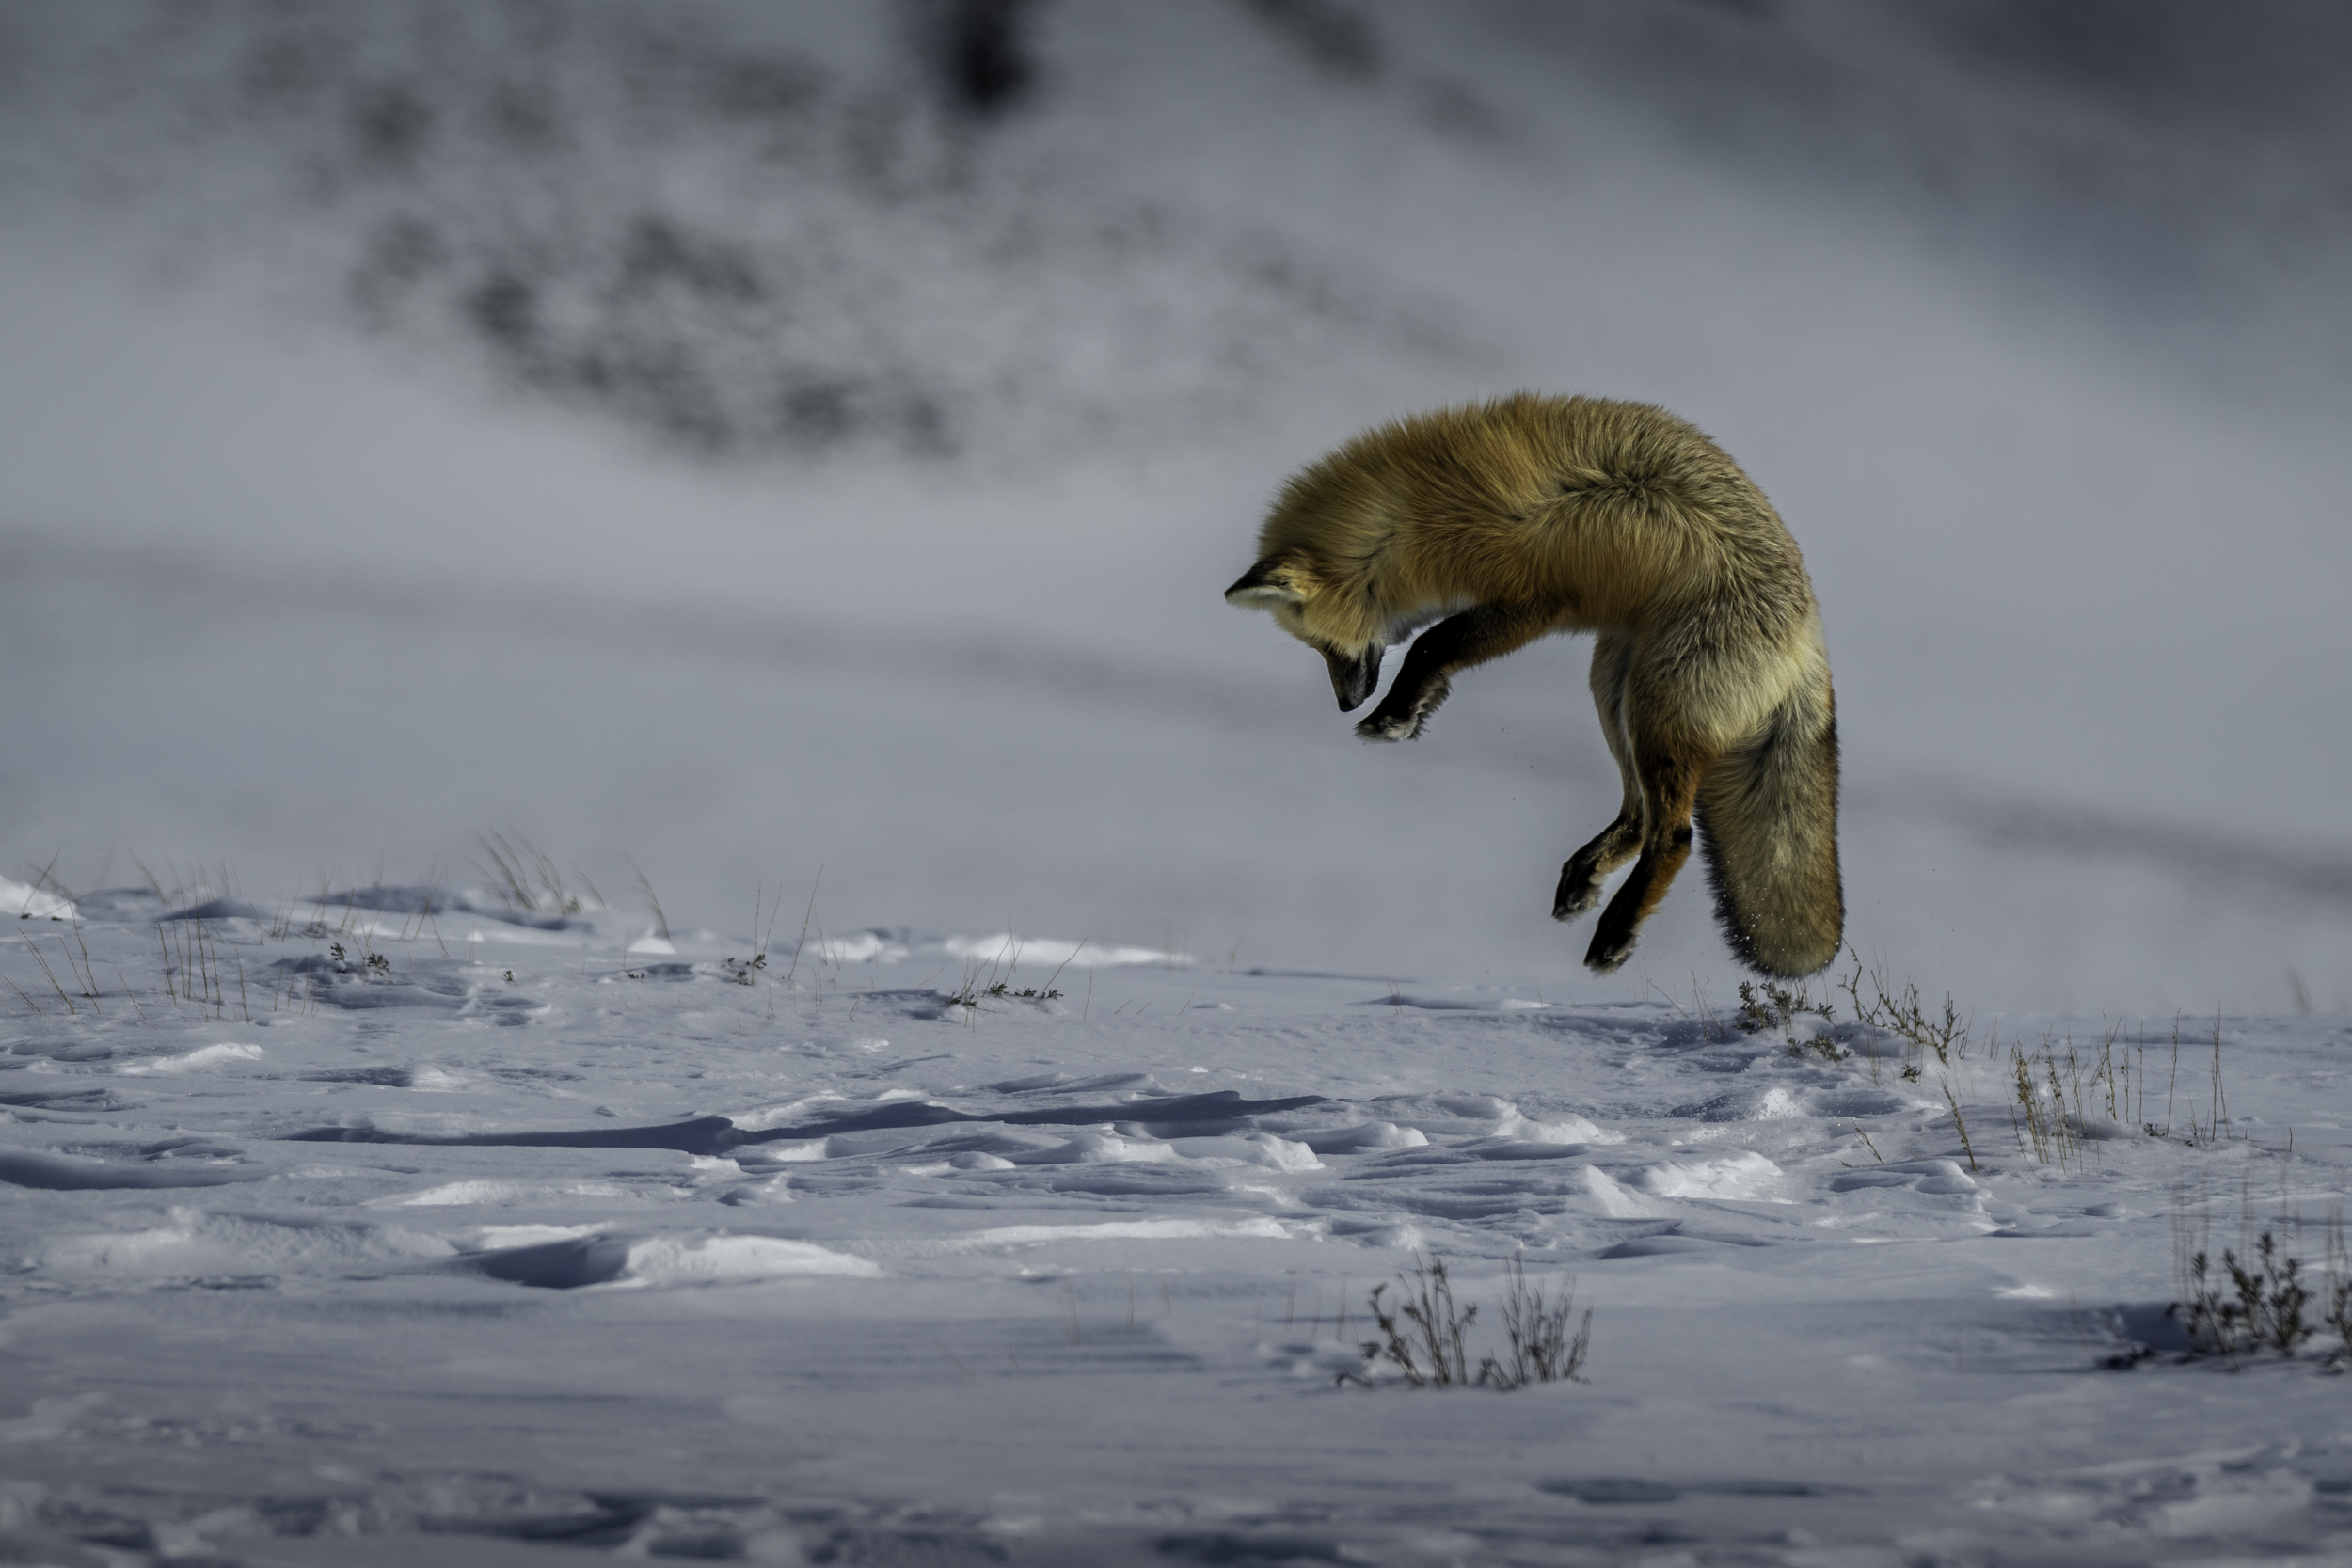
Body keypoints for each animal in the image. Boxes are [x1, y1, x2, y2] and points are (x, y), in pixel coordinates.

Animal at [1224, 392, 1841, 978]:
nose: (1345, 703)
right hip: (1613, 687)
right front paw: (1412, 712)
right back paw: (1583, 879)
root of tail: (1810, 637)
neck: (1416, 515)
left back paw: (1615, 933)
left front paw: (1390, 717)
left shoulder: (1531, 599)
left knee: (1674, 834)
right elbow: (1434, 656)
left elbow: (1431, 643)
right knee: (1638, 816)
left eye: (1322, 646)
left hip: (1657, 707)